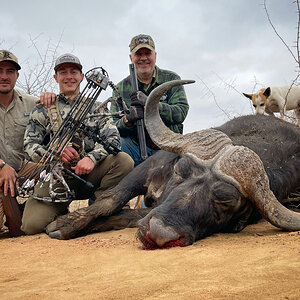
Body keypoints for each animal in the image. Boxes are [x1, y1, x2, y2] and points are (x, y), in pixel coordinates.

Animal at [45, 79, 300, 248]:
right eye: (180, 170)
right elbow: (110, 200)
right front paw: (64, 223)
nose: (158, 233)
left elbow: (127, 216)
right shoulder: (147, 167)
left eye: (226, 202)